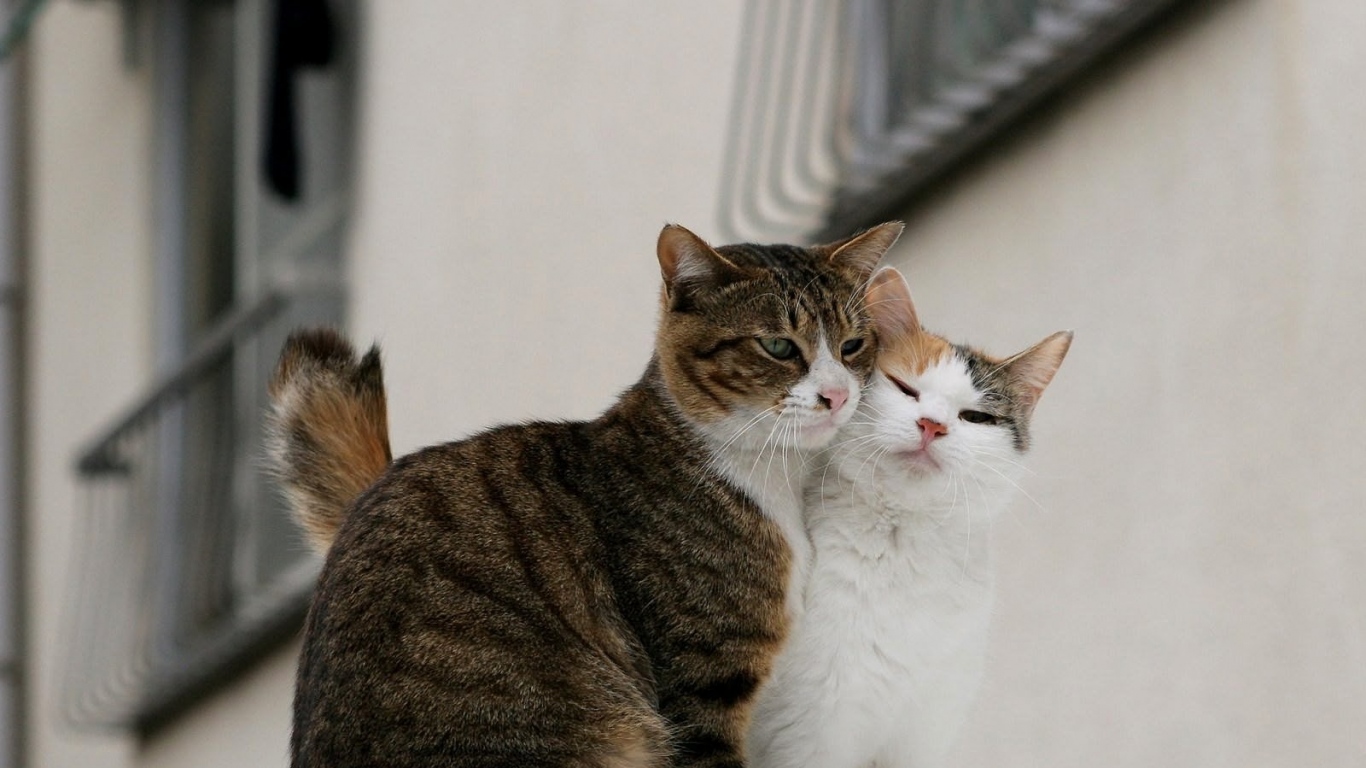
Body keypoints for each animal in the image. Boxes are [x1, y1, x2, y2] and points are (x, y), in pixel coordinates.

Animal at [743, 265, 1070, 765]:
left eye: (975, 417)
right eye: (905, 387)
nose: (931, 425)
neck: (903, 546)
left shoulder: (928, 729)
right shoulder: (810, 730)